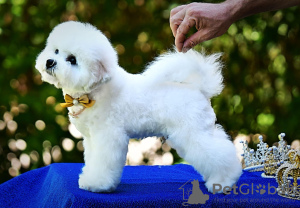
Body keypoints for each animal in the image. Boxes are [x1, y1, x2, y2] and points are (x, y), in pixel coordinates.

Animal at [35, 21, 241, 193]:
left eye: (72, 59)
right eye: (55, 51)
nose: (50, 62)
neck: (93, 92)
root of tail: (199, 89)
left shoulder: (108, 136)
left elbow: (103, 163)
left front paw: (98, 184)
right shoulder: (92, 139)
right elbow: (92, 160)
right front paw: (88, 179)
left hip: (193, 132)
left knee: (221, 154)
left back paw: (223, 182)